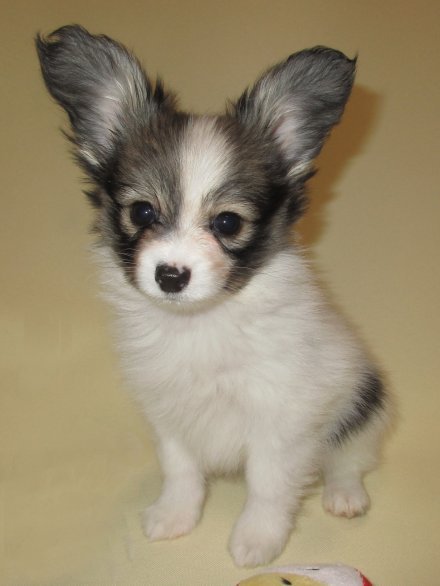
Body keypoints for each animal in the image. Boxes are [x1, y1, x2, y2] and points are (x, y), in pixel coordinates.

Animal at [36, 25, 388, 567]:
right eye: (142, 213)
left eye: (227, 223)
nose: (170, 275)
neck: (199, 323)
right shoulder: (167, 409)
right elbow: (180, 468)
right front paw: (176, 514)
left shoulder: (281, 415)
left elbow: (268, 483)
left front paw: (258, 538)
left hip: (364, 403)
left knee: (347, 457)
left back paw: (344, 495)